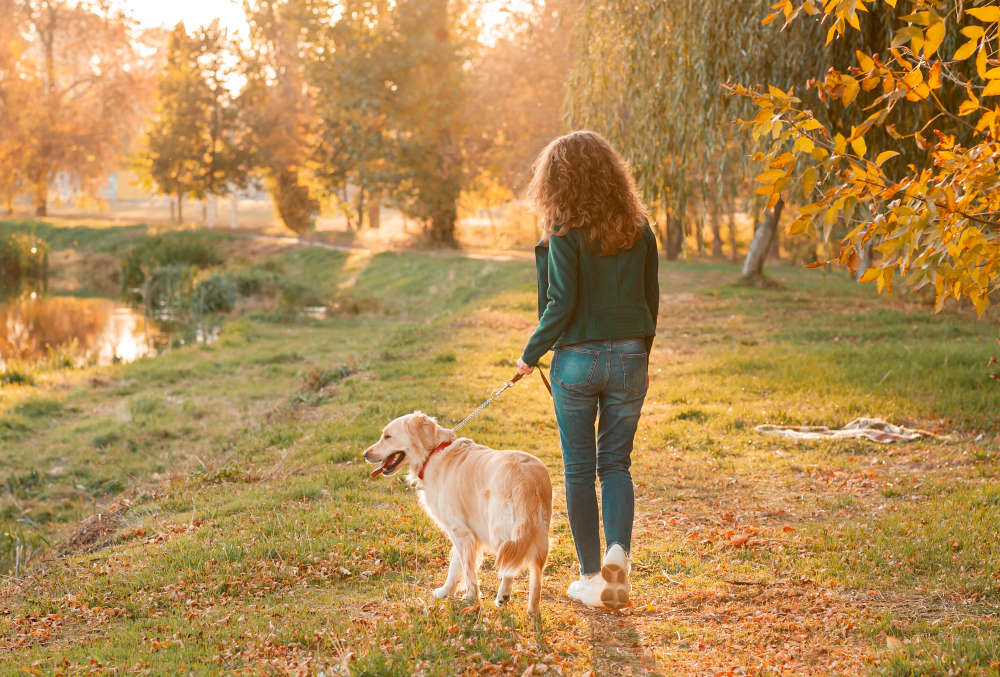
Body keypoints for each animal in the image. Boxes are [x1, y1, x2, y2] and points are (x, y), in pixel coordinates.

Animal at [366, 412, 556, 612]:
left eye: (387, 436)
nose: (365, 454)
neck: (432, 453)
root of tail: (527, 479)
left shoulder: (460, 531)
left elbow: (467, 569)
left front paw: (471, 598)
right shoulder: (462, 532)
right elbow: (455, 565)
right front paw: (445, 591)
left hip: (499, 532)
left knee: (509, 567)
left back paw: (503, 595)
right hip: (538, 534)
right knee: (536, 574)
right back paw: (532, 610)